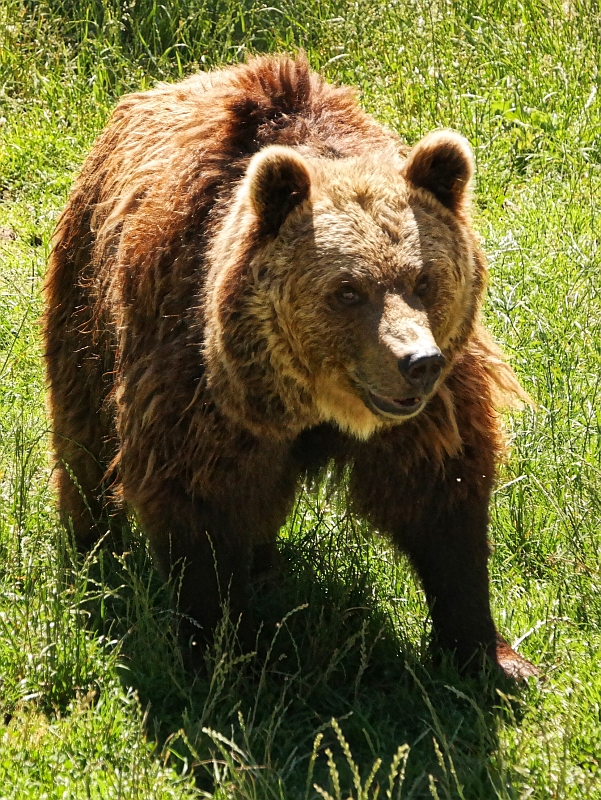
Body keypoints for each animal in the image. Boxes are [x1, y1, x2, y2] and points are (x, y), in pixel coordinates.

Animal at [44, 54, 536, 680]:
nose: (418, 362)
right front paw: (217, 651)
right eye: (348, 291)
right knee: (83, 430)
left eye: (423, 279)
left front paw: (489, 654)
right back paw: (92, 547)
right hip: (87, 294)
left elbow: (442, 495)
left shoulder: (433, 403)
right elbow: (197, 505)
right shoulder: (198, 382)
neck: (312, 404)